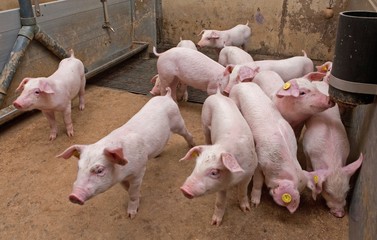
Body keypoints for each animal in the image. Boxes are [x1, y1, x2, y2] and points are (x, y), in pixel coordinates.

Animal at [58, 88, 197, 219]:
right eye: (78, 168)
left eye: (100, 170)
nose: (73, 196)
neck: (123, 172)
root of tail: (167, 97)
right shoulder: (121, 178)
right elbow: (127, 188)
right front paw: (139, 195)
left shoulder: (139, 171)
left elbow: (132, 192)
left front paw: (131, 215)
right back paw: (158, 155)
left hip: (178, 123)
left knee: (187, 134)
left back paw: (192, 146)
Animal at [178, 89, 256, 225]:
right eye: (196, 165)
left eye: (214, 172)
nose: (184, 189)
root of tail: (218, 94)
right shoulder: (221, 185)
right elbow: (220, 202)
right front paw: (215, 223)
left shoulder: (249, 173)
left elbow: (242, 191)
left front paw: (246, 210)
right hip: (204, 121)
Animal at [300, 80, 362, 218]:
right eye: (328, 192)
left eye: (347, 191)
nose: (339, 214)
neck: (333, 163)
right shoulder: (306, 149)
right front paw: (309, 170)